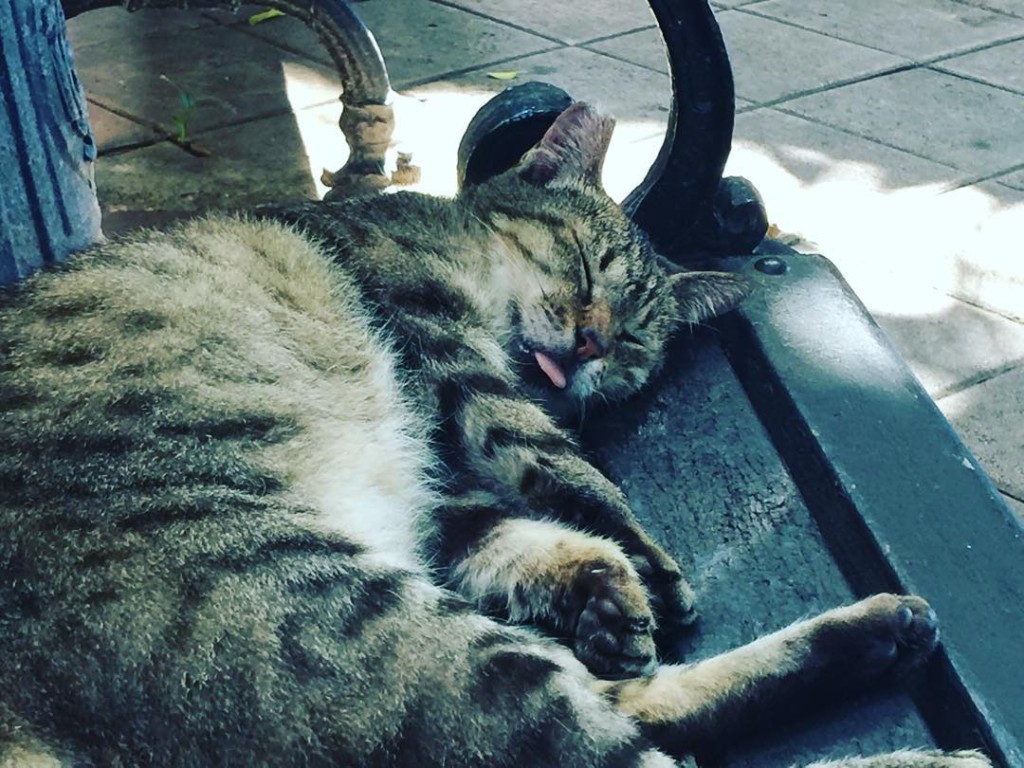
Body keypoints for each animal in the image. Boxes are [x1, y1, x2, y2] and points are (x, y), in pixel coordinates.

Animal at [0, 103, 991, 768]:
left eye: (636, 339)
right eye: (587, 266)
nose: (591, 343)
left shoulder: (438, 497)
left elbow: (525, 530)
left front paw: (602, 590)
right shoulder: (443, 345)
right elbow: (570, 471)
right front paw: (644, 567)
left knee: (627, 708)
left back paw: (877, 632)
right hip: (336, 613)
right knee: (614, 739)